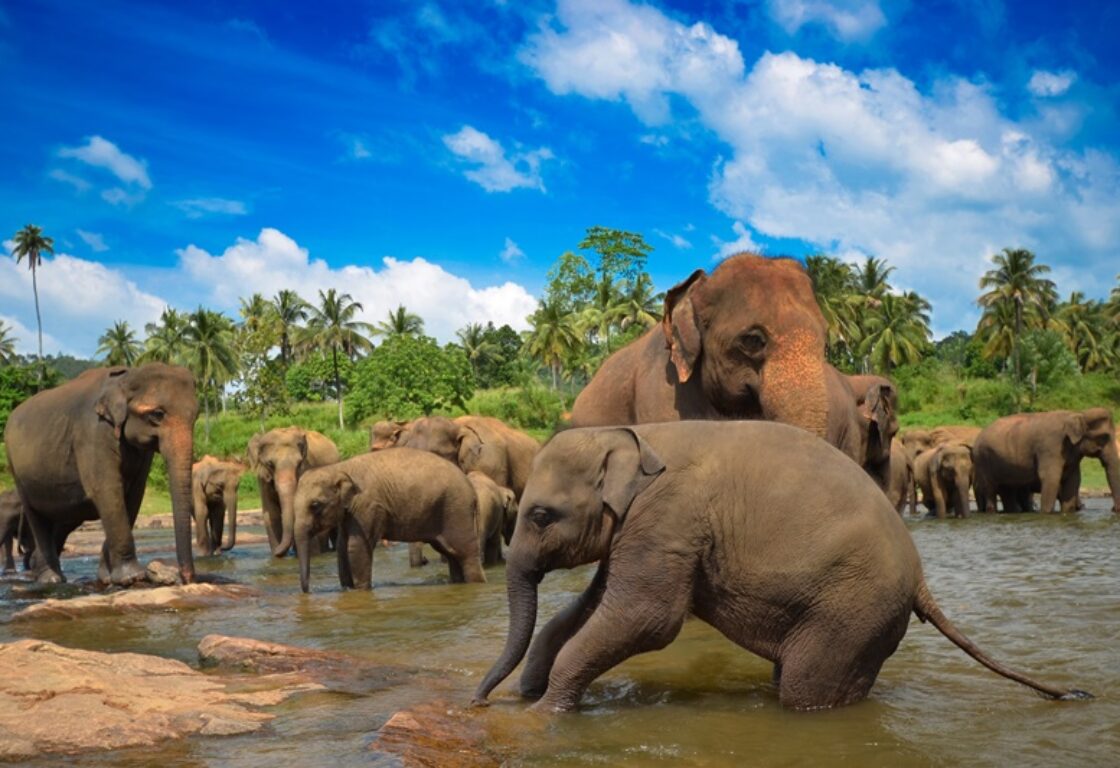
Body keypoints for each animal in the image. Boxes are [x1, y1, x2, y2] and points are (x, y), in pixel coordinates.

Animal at [3, 364, 198, 585]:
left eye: (196, 416)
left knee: (62, 521)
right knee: (37, 518)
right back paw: (51, 579)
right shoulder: (92, 434)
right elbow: (108, 492)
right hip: (17, 471)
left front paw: (106, 578)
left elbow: (133, 497)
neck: (126, 377)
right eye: (157, 414)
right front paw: (132, 577)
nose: (187, 578)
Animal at [248, 427, 340, 557]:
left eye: (299, 463)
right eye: (270, 464)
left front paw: (313, 555)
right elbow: (271, 514)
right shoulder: (263, 480)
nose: (276, 552)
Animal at [292, 447, 485, 592]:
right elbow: (341, 547)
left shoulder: (367, 506)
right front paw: (347, 589)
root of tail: (472, 489)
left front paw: (361, 591)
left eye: (315, 505)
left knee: (465, 553)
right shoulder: (349, 511)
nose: (308, 591)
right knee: (451, 553)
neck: (339, 468)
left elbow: (356, 547)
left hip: (457, 510)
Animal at [473, 421, 1088, 712]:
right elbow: (596, 605)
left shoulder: (668, 519)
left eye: (542, 515)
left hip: (853, 608)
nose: (477, 700)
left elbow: (647, 618)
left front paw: (546, 712)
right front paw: (530, 692)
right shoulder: (643, 530)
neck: (634, 433)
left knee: (803, 690)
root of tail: (921, 580)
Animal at [973, 408, 1120, 515]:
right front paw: (1046, 514)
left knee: (1007, 489)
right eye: (1105, 437)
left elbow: (1073, 480)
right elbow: (1051, 478)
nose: (1114, 509)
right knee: (991, 488)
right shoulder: (1050, 448)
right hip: (982, 460)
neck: (1079, 414)